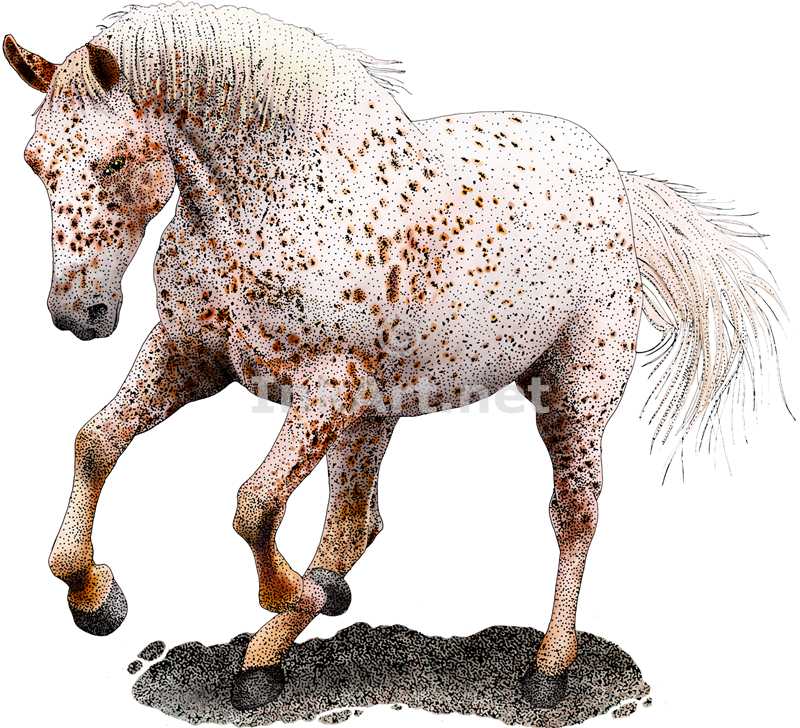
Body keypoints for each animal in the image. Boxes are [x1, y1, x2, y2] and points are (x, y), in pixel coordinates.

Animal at [4, 2, 785, 712]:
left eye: (113, 161)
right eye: (35, 163)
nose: (77, 314)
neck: (270, 199)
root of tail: (620, 187)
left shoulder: (325, 384)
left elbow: (254, 504)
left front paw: (291, 592)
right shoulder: (188, 355)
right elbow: (96, 442)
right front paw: (94, 596)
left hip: (571, 398)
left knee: (574, 514)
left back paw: (547, 668)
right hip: (374, 415)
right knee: (357, 522)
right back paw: (273, 650)